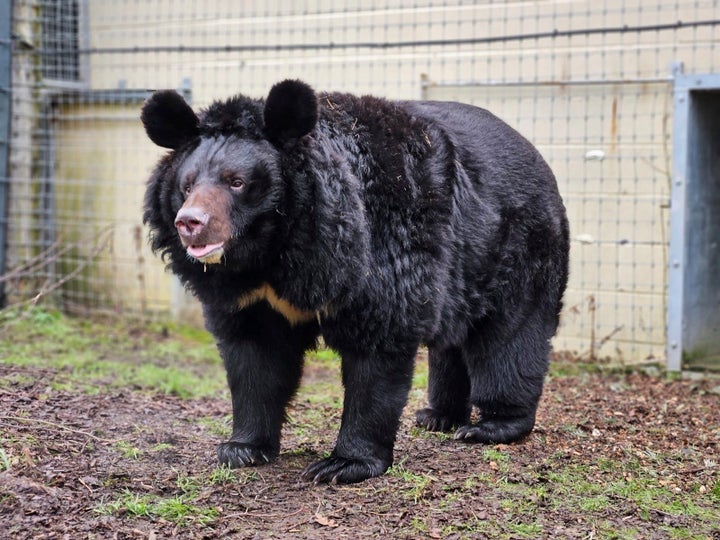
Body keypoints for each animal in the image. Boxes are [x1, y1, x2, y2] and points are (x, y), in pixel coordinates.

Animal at [141, 81, 568, 486]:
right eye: (187, 185)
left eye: (237, 182)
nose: (189, 222)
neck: (272, 255)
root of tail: (537, 156)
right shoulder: (249, 298)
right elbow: (254, 359)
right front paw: (241, 448)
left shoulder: (380, 251)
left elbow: (377, 351)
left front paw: (343, 464)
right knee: (452, 341)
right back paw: (437, 416)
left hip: (519, 248)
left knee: (509, 338)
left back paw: (492, 425)